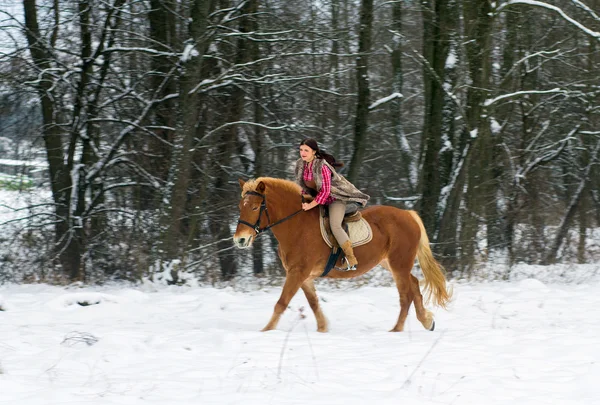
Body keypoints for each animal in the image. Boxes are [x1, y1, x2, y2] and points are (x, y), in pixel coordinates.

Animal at [234, 177, 450, 332]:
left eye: (255, 207)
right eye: (240, 206)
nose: (240, 240)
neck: (297, 226)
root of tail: (408, 214)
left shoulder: (298, 273)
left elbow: (281, 303)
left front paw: (266, 331)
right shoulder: (303, 276)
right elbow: (313, 303)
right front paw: (323, 328)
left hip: (399, 264)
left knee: (406, 296)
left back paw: (396, 330)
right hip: (390, 263)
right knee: (414, 285)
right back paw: (426, 320)